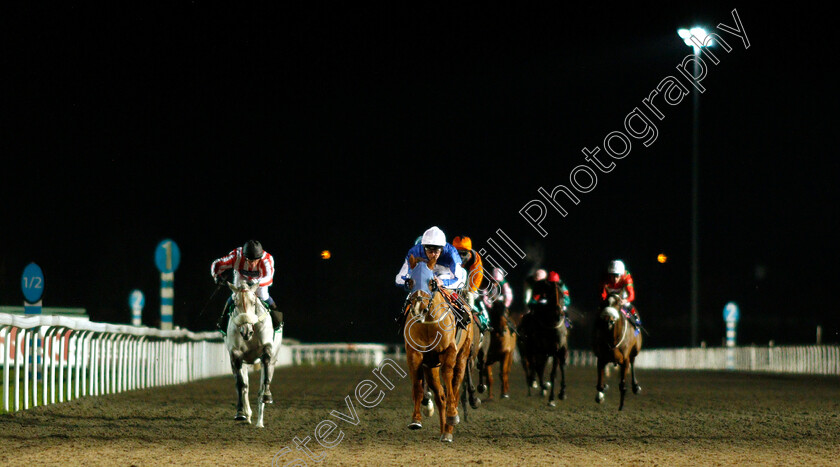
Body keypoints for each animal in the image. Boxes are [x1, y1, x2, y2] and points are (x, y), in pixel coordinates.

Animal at [223, 282, 282, 428]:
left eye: (253, 302)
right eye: (236, 303)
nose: (246, 331)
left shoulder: (266, 350)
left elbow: (264, 382)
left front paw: (266, 396)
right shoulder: (235, 356)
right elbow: (240, 384)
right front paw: (240, 413)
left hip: (273, 360)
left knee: (264, 382)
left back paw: (259, 422)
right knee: (245, 386)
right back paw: (248, 415)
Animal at [406, 258, 476, 444]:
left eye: (431, 282)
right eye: (410, 282)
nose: (418, 309)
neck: (428, 324)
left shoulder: (449, 351)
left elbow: (449, 379)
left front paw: (453, 416)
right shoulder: (415, 354)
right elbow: (417, 385)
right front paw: (416, 419)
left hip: (462, 356)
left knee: (456, 388)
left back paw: (449, 428)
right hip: (431, 367)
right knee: (440, 396)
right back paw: (445, 431)